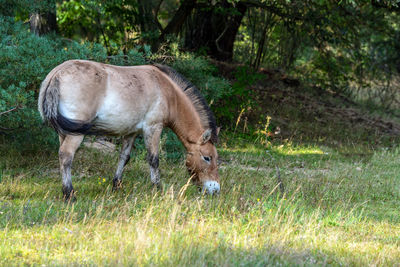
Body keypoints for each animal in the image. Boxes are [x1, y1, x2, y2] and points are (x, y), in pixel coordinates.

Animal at [38, 59, 220, 200]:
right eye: (207, 158)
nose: (215, 189)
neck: (168, 92)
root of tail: (56, 75)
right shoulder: (153, 128)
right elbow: (153, 159)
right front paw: (158, 189)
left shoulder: (131, 133)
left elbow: (124, 157)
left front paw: (116, 186)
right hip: (74, 134)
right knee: (66, 156)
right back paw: (70, 195)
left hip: (64, 133)